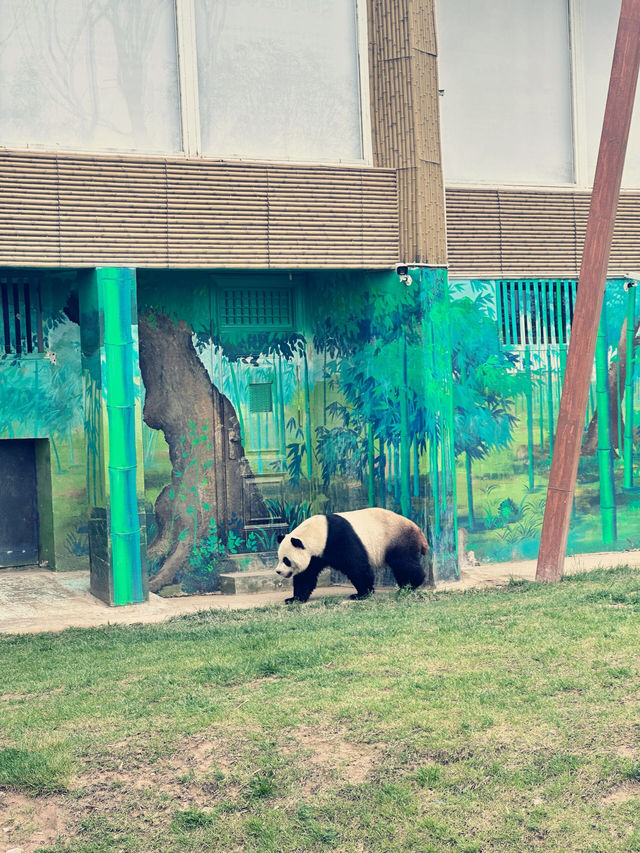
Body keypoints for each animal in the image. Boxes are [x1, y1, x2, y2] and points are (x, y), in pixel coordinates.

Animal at [274, 510, 430, 604]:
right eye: (279, 558)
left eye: (286, 560)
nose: (278, 571)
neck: (317, 533)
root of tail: (418, 530)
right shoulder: (315, 556)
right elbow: (306, 576)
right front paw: (294, 599)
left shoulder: (339, 539)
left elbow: (357, 567)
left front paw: (362, 594)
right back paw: (405, 586)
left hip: (399, 540)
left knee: (403, 563)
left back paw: (411, 585)